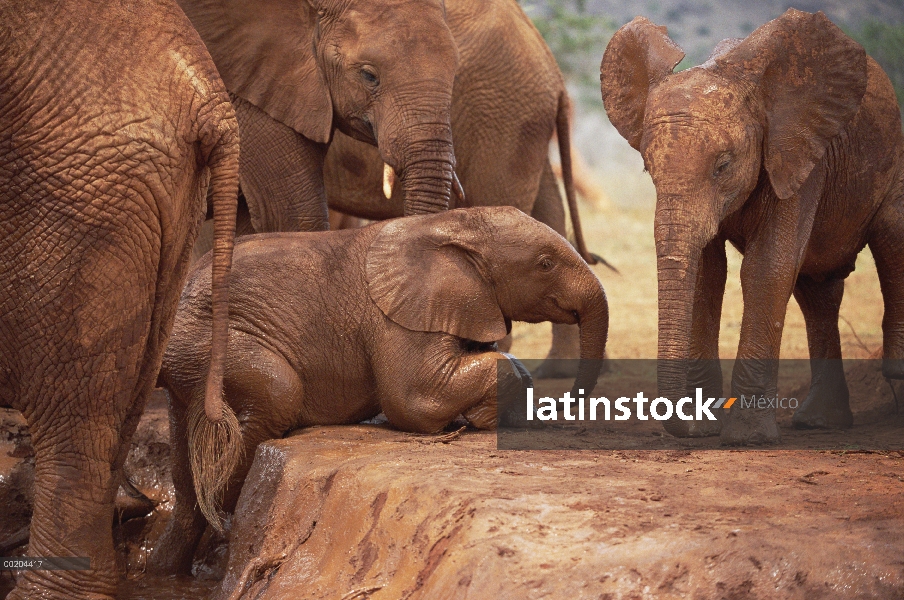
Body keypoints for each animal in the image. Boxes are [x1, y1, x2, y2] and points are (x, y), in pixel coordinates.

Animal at [152, 207, 612, 576]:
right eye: (545, 264)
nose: (567, 403)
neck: (455, 223)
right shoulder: (395, 315)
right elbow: (414, 398)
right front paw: (482, 417)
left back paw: (167, 567)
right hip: (207, 341)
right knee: (278, 391)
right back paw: (222, 522)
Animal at [600, 9, 904, 446]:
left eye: (723, 166)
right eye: (647, 169)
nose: (685, 428)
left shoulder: (796, 152)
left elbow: (767, 267)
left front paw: (747, 438)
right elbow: (707, 274)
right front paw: (702, 428)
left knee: (891, 239)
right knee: (817, 292)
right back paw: (820, 422)